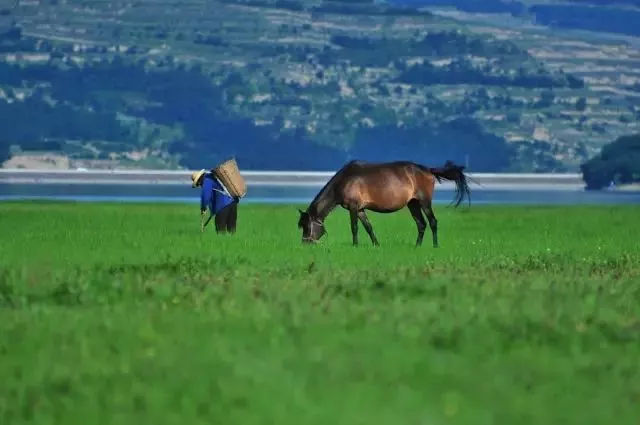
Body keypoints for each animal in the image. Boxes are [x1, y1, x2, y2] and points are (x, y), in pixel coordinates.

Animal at [296, 158, 470, 245]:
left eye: (306, 226)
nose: (305, 244)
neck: (344, 180)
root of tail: (428, 170)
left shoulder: (353, 207)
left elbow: (354, 228)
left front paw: (355, 245)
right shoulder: (360, 209)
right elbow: (368, 227)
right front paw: (376, 244)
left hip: (424, 202)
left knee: (432, 222)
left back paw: (435, 245)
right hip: (412, 204)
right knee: (421, 224)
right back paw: (417, 246)